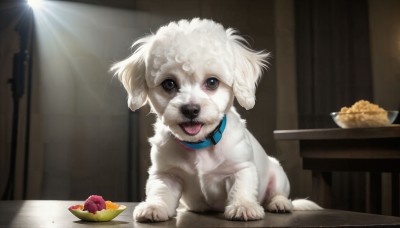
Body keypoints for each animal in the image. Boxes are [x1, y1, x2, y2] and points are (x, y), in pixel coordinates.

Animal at [110, 18, 322, 223]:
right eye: (169, 84)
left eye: (212, 82)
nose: (190, 109)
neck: (199, 145)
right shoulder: (166, 174)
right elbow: (160, 191)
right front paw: (155, 207)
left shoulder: (241, 168)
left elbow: (241, 188)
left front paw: (243, 206)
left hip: (278, 174)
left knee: (279, 194)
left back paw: (279, 203)